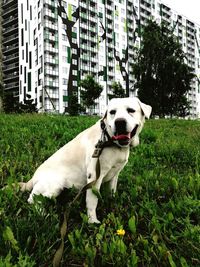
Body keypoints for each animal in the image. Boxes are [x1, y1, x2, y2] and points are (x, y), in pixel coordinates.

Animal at [19, 97, 152, 223]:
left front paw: (112, 204)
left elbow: (112, 192)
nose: (119, 122)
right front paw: (92, 221)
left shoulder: (114, 175)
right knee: (33, 199)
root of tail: (33, 178)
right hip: (55, 185)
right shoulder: (94, 176)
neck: (108, 140)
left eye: (131, 110)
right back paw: (42, 214)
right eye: (112, 112)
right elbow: (92, 201)